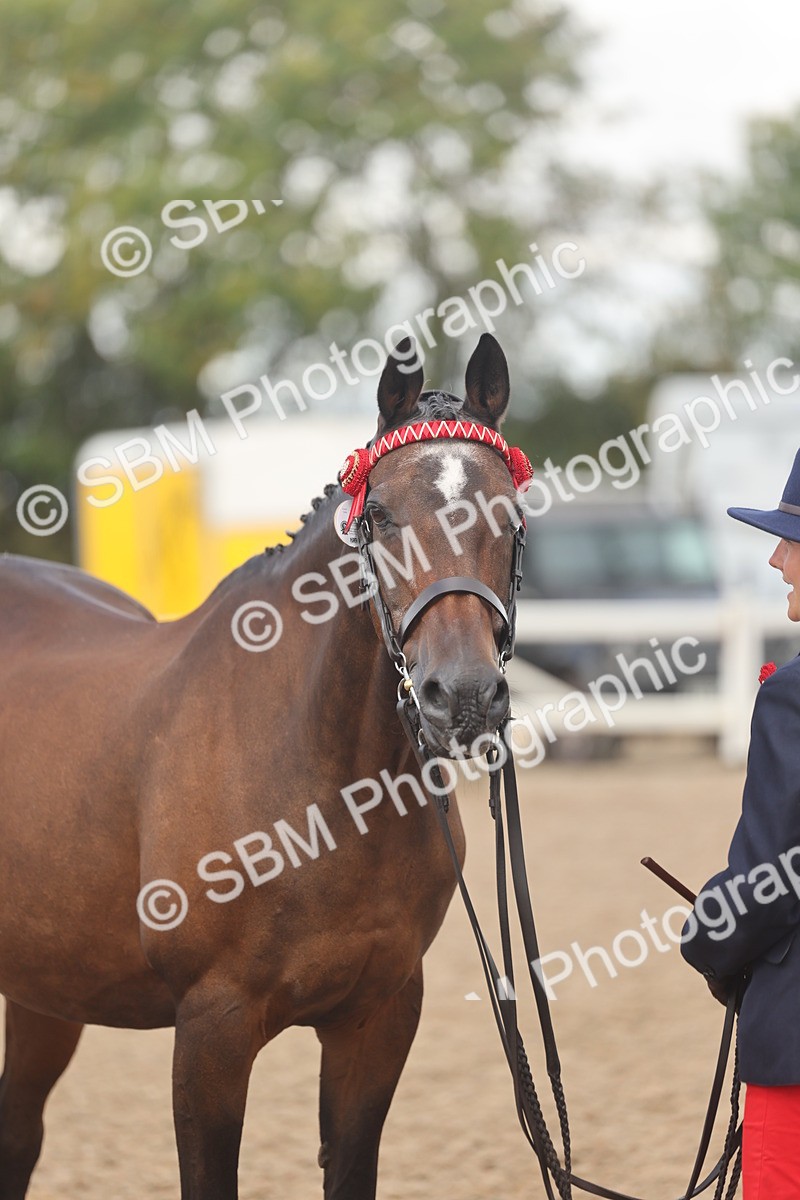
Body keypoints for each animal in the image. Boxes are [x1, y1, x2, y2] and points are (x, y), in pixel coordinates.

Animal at [0, 332, 528, 1200]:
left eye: (512, 518)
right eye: (379, 516)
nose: (466, 696)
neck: (323, 785)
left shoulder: (378, 1017)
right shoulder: (211, 1030)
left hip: (48, 986)